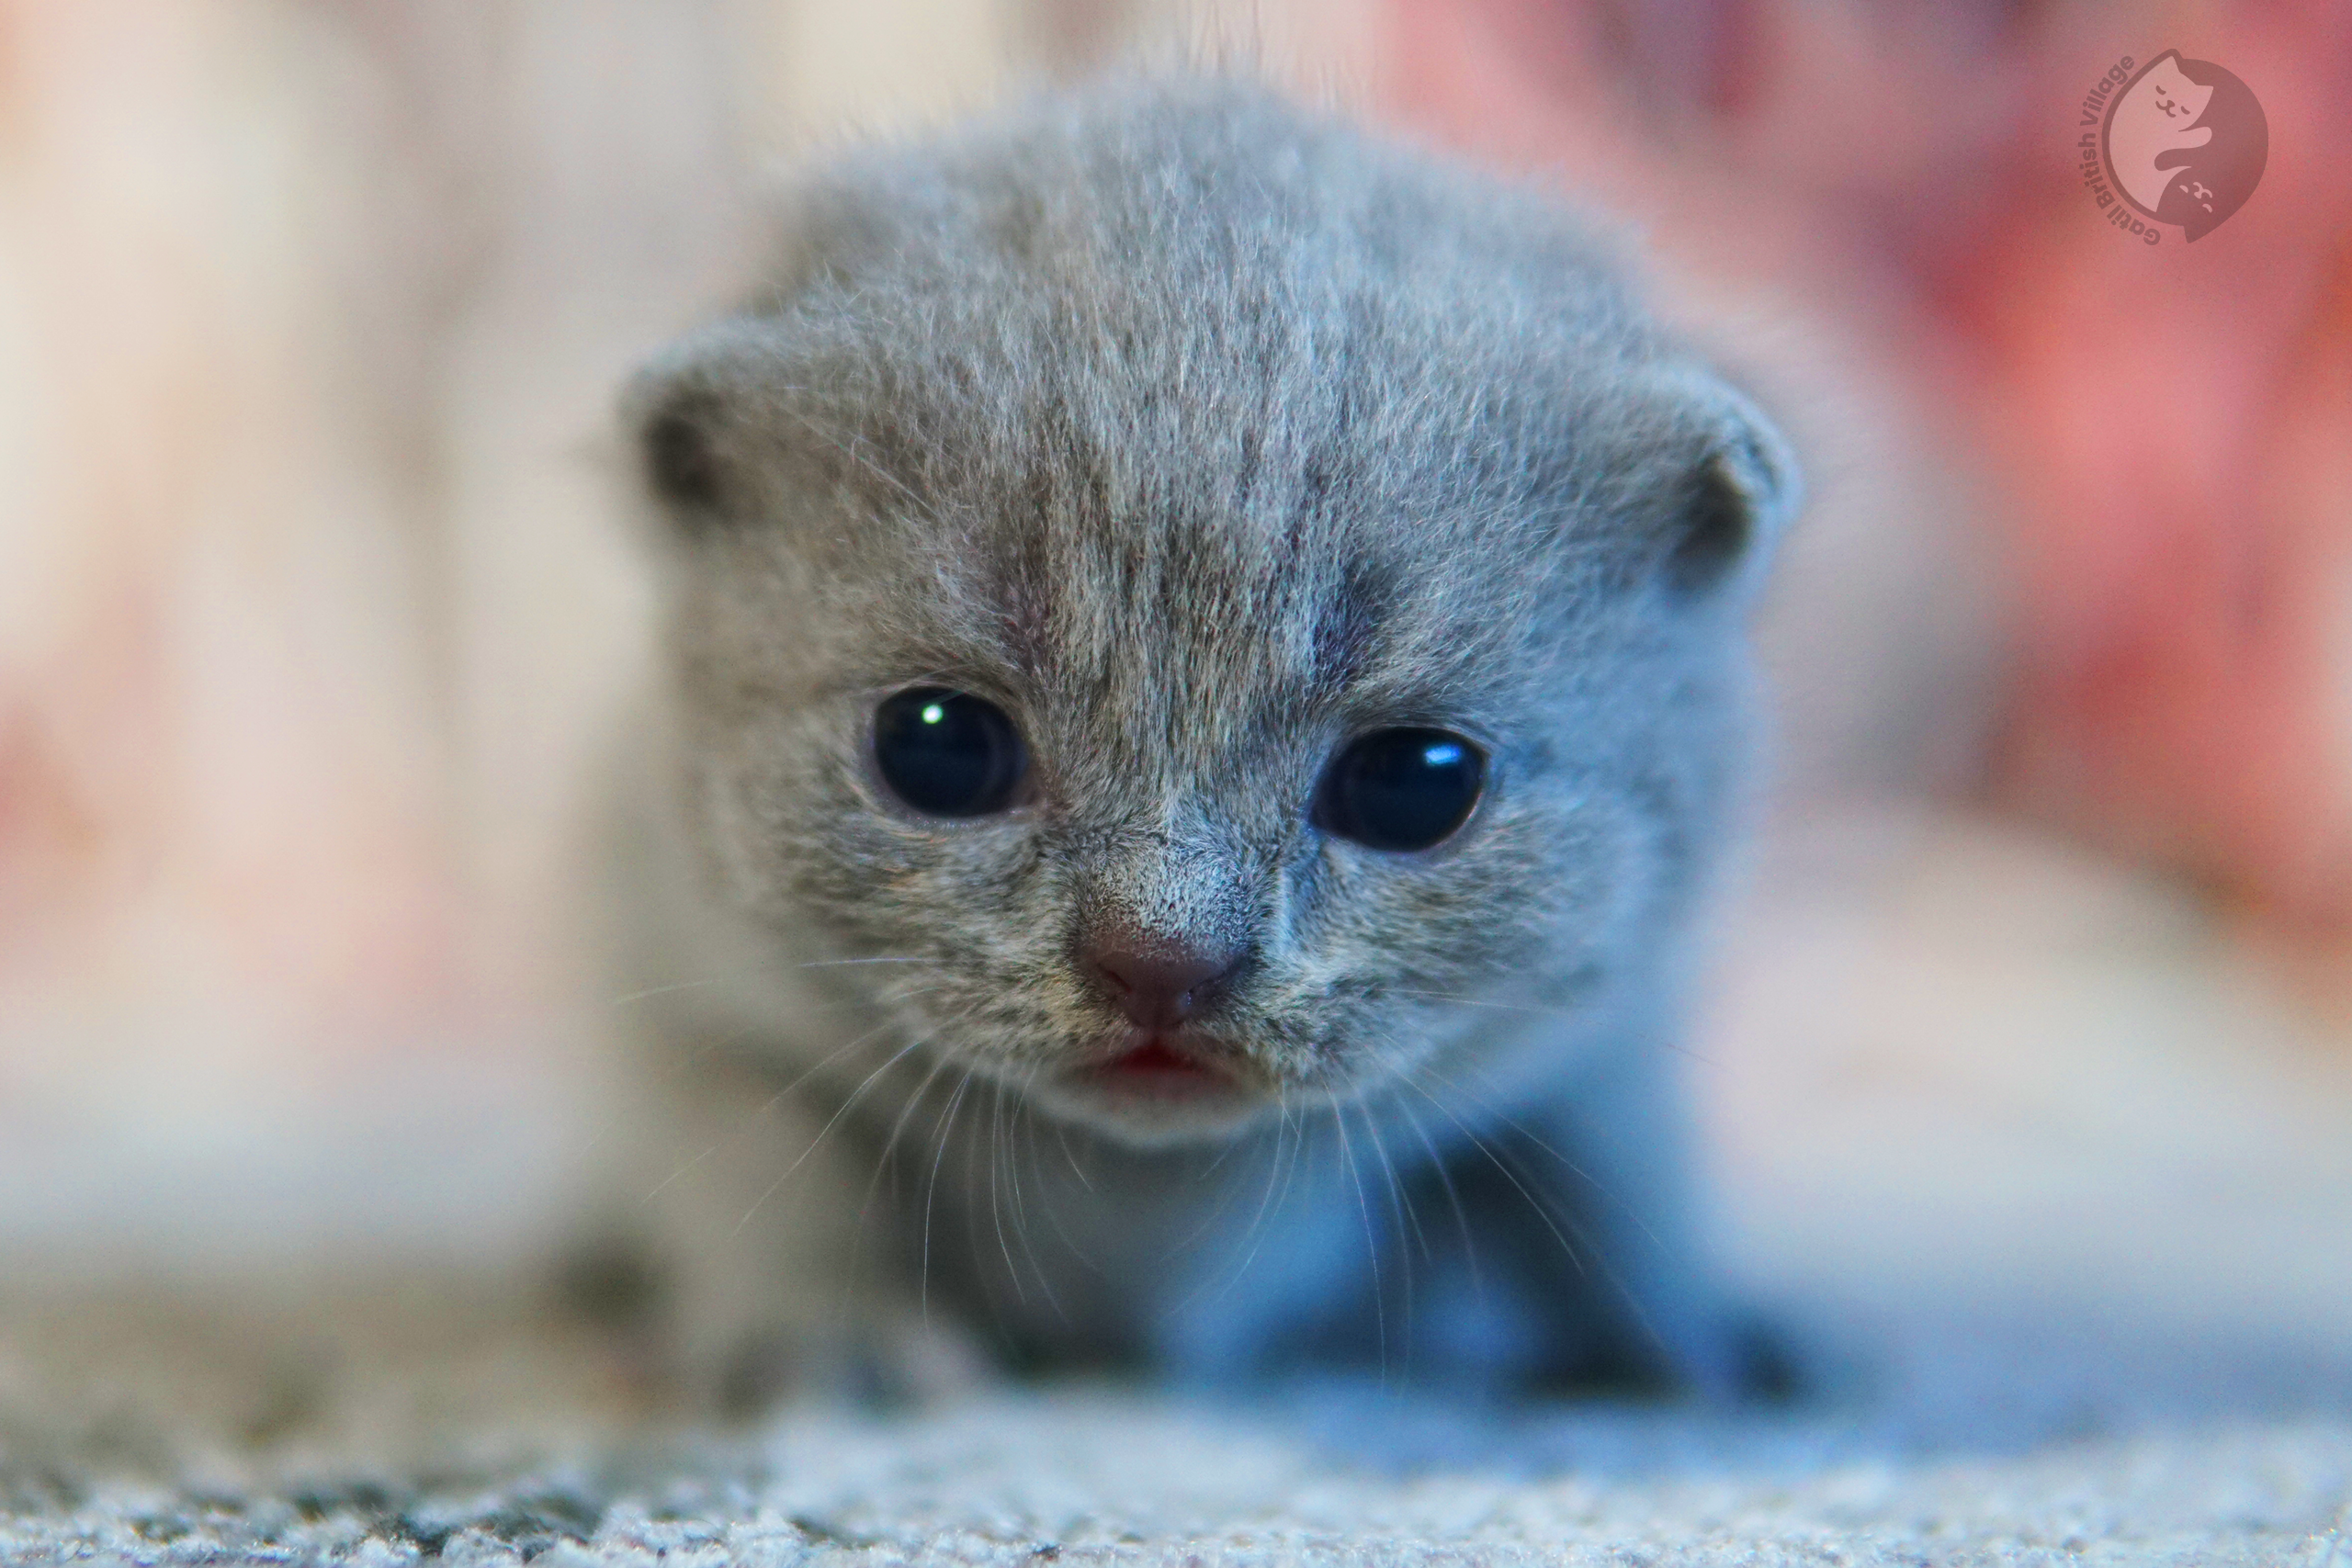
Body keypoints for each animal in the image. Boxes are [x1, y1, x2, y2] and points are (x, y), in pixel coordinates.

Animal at [582, 80, 1796, 1419]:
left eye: (1415, 785)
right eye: (935, 750)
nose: (1162, 960)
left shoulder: (1614, 1038)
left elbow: (1619, 1188)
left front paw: (1689, 1349)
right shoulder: (672, 973)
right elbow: (768, 1170)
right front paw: (823, 1339)